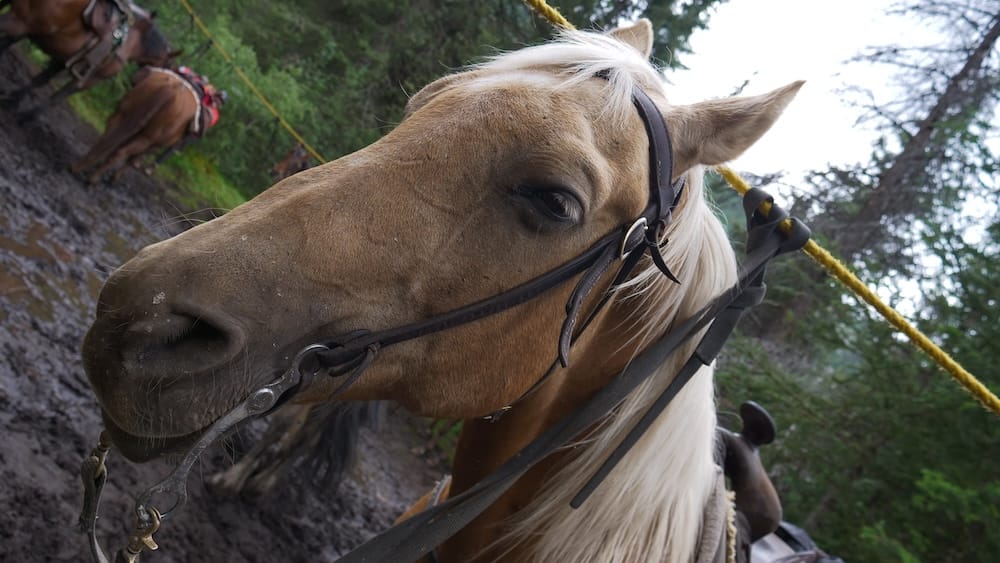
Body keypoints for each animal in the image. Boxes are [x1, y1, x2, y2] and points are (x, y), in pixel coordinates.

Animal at [0, 0, 177, 120]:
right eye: (166, 65)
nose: (139, 80)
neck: (133, 40)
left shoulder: (62, 61)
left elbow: (39, 80)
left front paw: (13, 100)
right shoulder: (91, 78)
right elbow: (58, 97)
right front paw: (28, 116)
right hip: (18, 23)